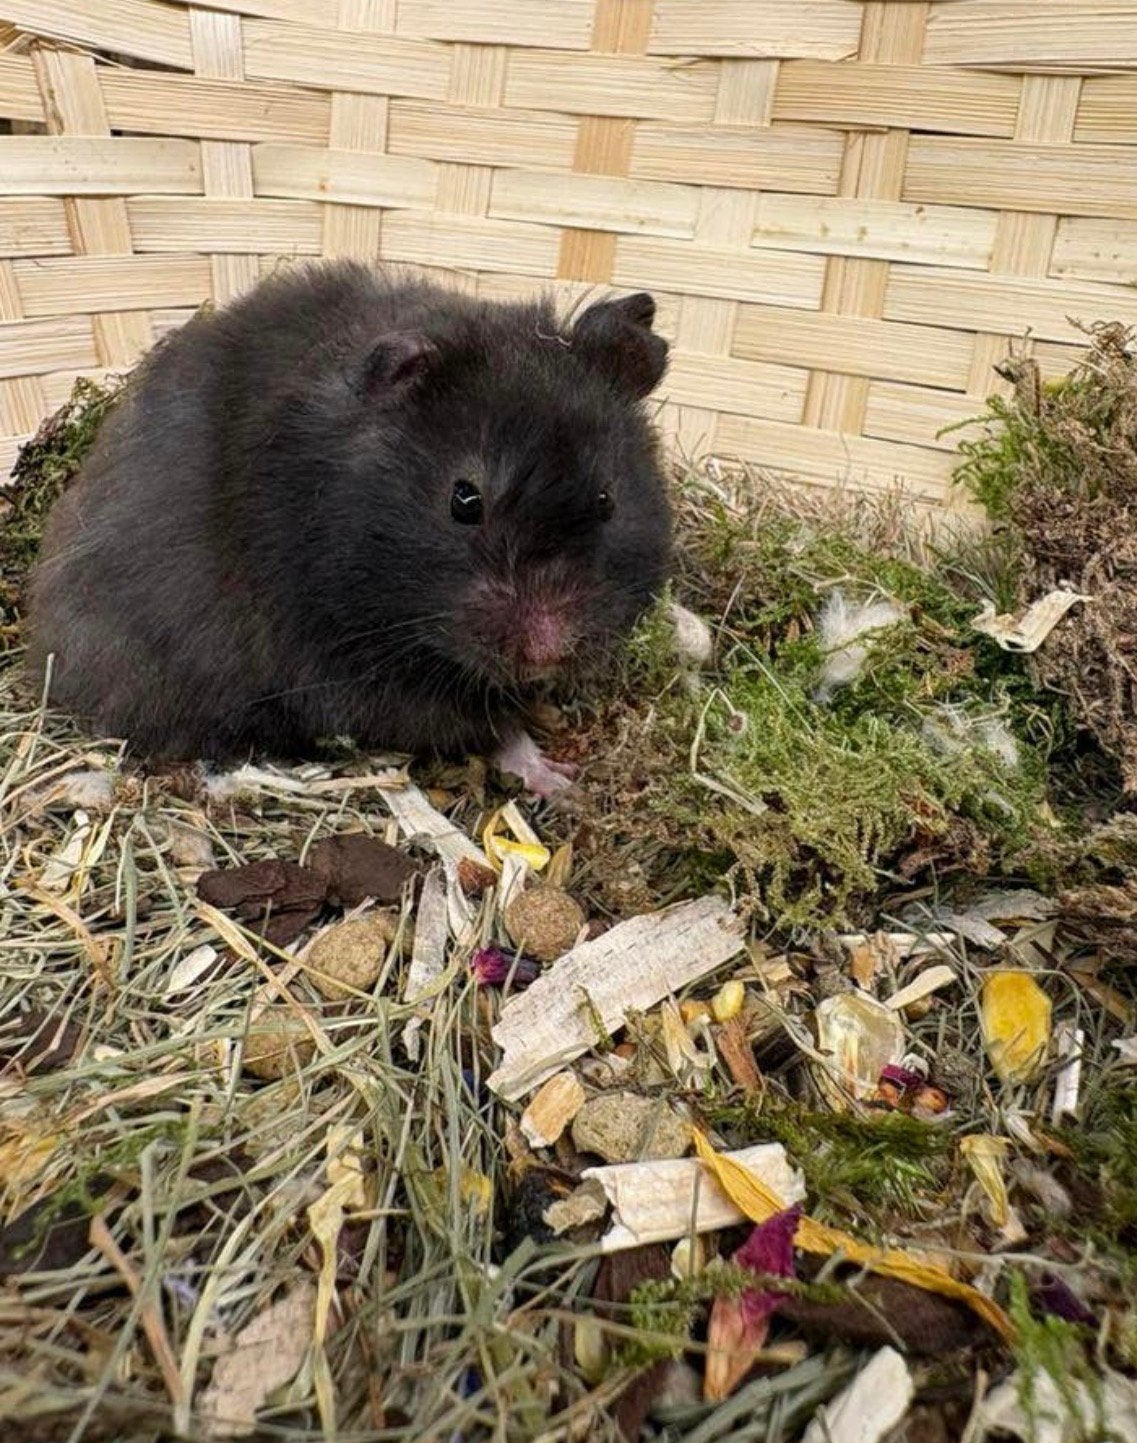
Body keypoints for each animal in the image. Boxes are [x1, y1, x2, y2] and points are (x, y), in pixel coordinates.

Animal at [26, 261, 673, 797]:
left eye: (608, 499)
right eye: (464, 501)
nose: (547, 651)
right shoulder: (351, 677)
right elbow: (487, 727)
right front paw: (561, 780)